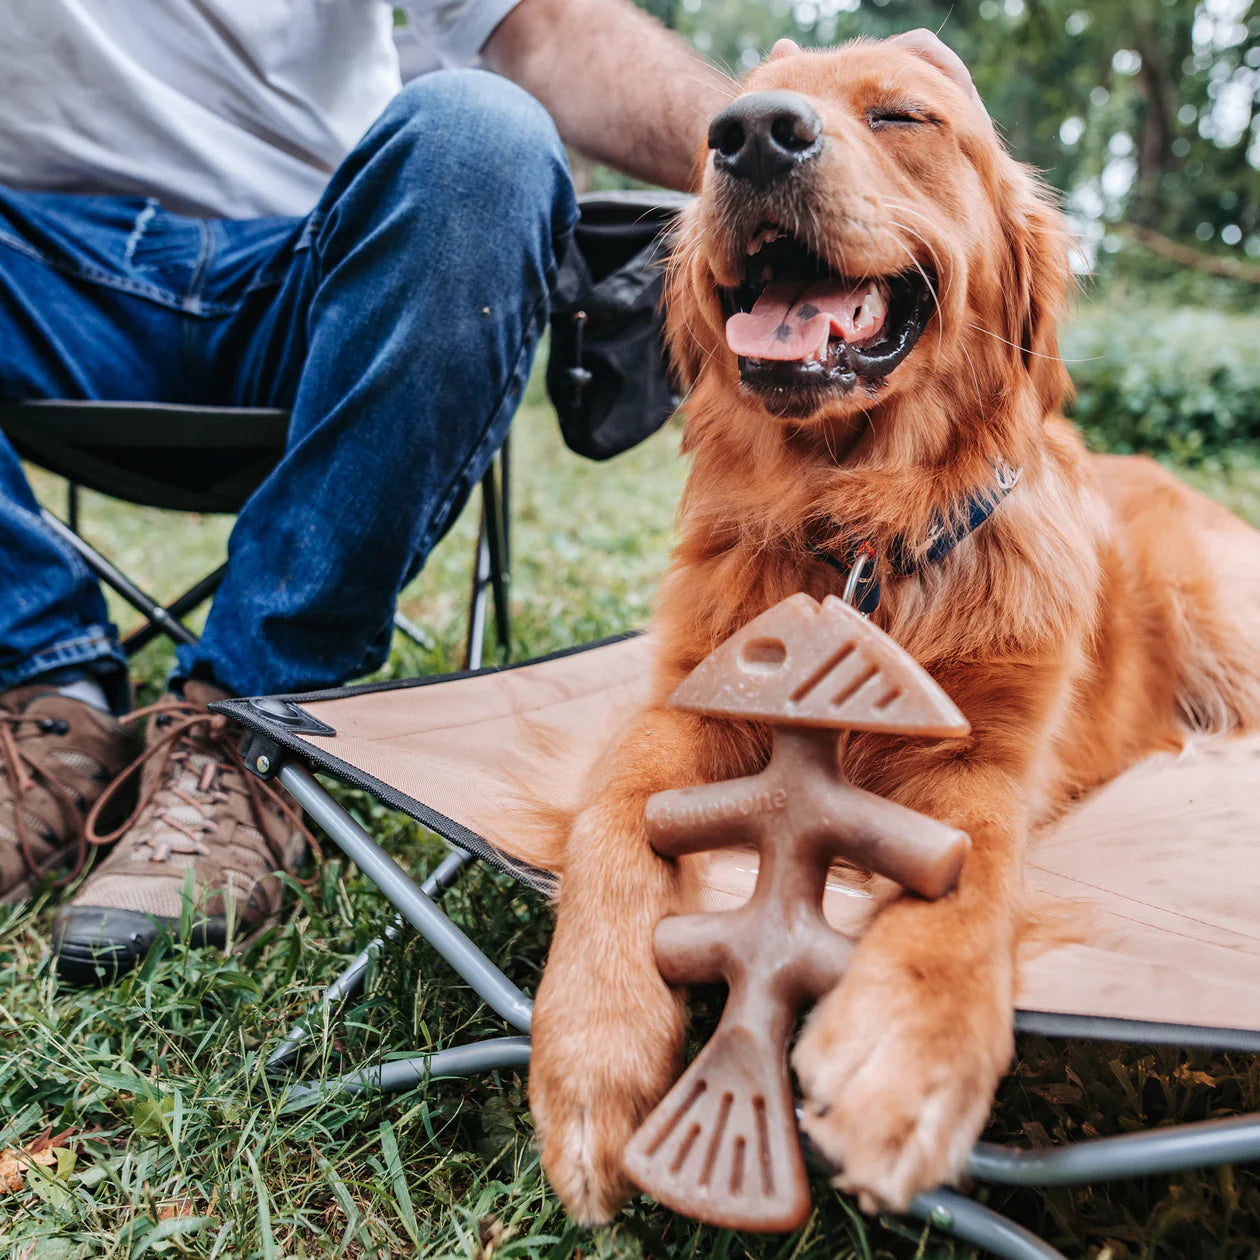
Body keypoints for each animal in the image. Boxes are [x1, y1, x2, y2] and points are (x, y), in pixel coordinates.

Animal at [524, 36, 1260, 1219]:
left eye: (904, 115)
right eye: (720, 123)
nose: (752, 135)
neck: (862, 526)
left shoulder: (988, 762)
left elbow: (970, 862)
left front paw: (910, 1042)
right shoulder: (684, 703)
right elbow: (616, 814)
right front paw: (597, 1037)